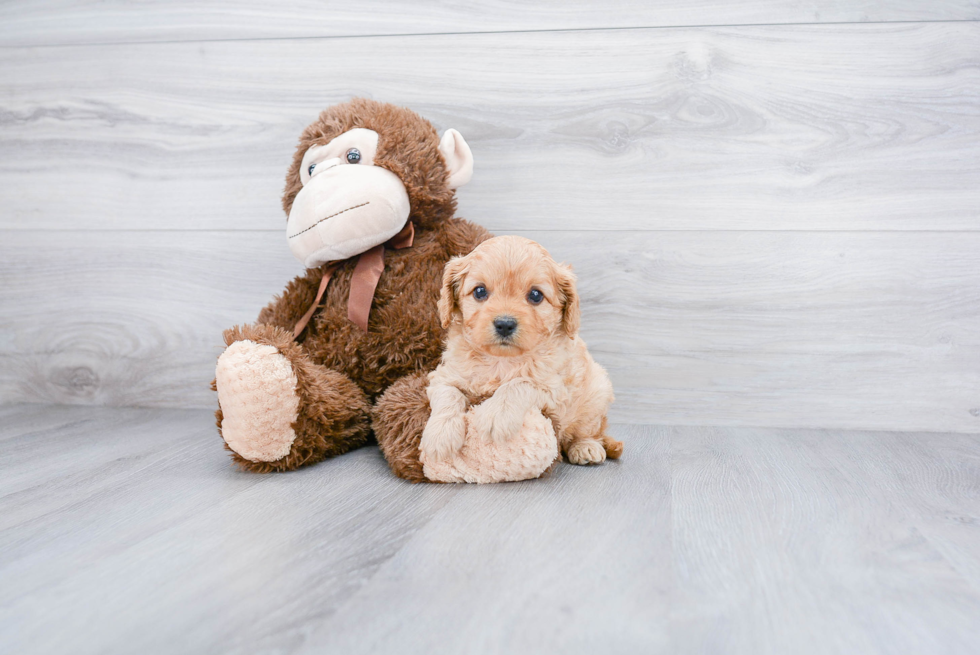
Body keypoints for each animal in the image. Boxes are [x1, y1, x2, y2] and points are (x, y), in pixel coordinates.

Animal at [420, 234, 620, 472]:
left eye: (535, 295)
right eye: (480, 291)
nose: (505, 324)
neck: (501, 361)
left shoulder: (555, 389)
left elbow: (519, 383)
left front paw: (497, 414)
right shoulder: (443, 375)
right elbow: (448, 394)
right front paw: (440, 435)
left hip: (597, 391)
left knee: (590, 430)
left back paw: (586, 447)